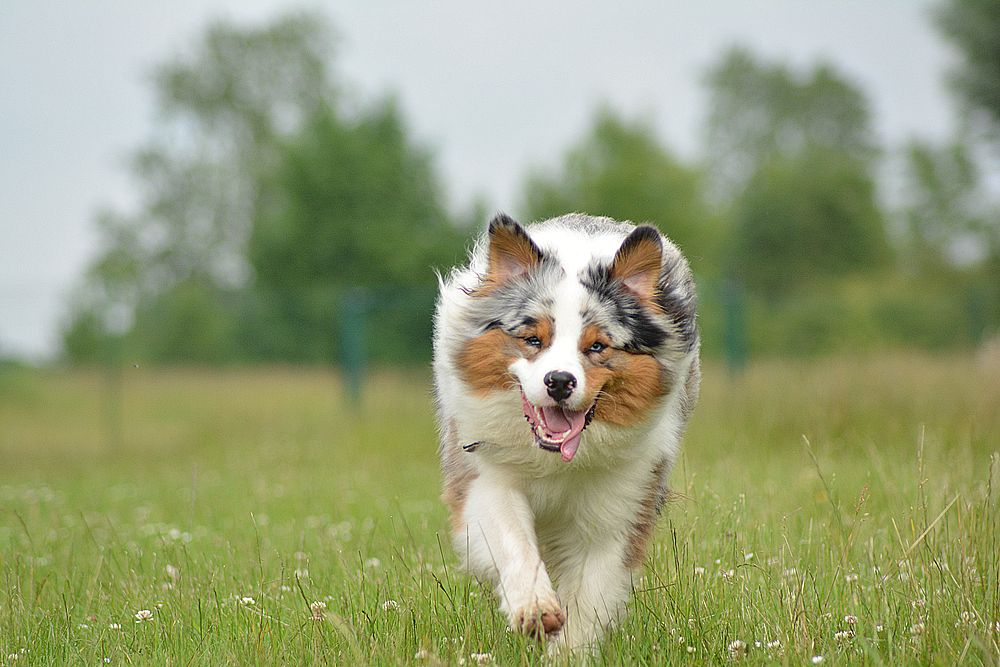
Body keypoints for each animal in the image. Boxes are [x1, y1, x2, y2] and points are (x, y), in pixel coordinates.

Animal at [434, 215, 700, 652]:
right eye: (533, 339)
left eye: (597, 346)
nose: (559, 381)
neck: (555, 460)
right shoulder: (486, 475)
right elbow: (512, 538)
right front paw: (535, 608)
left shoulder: (618, 507)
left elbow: (590, 598)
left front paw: (567, 649)